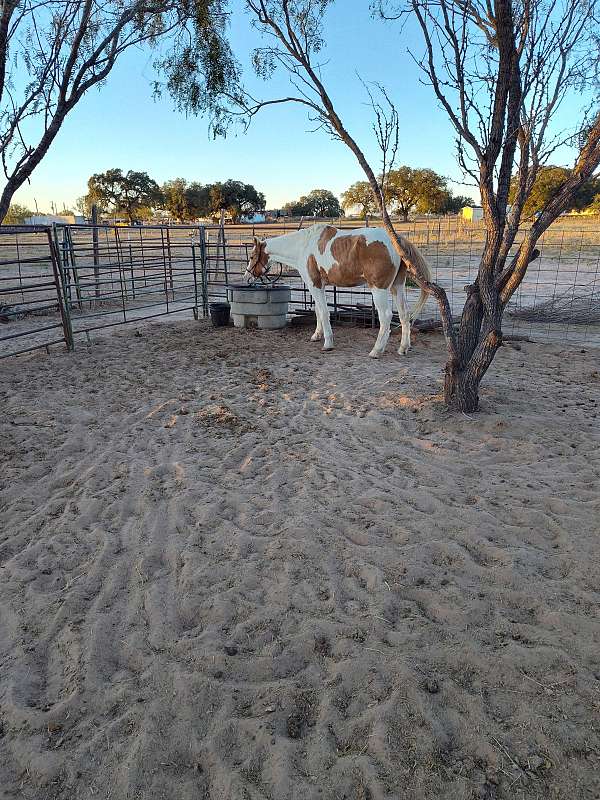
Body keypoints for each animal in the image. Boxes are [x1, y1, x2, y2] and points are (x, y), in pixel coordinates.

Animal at [245, 227, 432, 360]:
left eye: (253, 256)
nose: (247, 276)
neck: (303, 246)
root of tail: (395, 240)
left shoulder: (314, 285)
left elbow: (324, 312)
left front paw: (328, 342)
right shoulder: (318, 286)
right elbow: (318, 311)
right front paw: (317, 335)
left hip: (379, 289)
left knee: (385, 317)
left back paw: (376, 351)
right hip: (397, 287)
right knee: (404, 315)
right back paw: (403, 348)